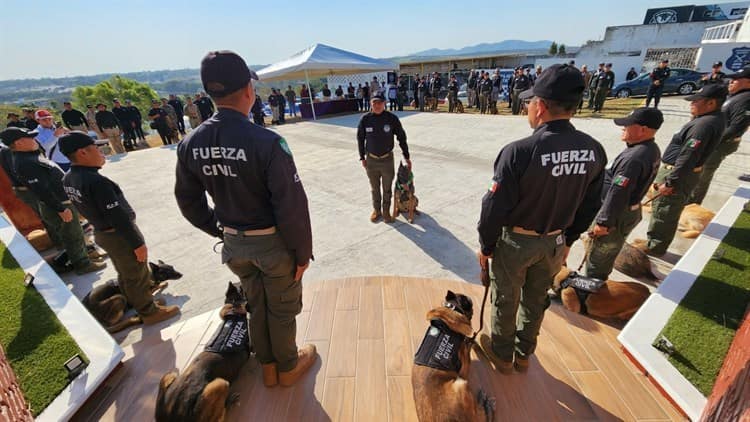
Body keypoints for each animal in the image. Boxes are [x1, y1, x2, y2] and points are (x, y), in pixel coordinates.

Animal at [156, 282, 253, 420]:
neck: (234, 308)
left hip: (169, 375)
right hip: (220, 384)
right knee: (220, 416)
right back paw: (229, 402)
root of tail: (171, 416)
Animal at [414, 290, 496, 422]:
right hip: (461, 384)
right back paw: (486, 404)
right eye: (467, 301)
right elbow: (467, 353)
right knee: (480, 416)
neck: (451, 308)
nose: (470, 300)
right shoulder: (463, 368)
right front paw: (471, 342)